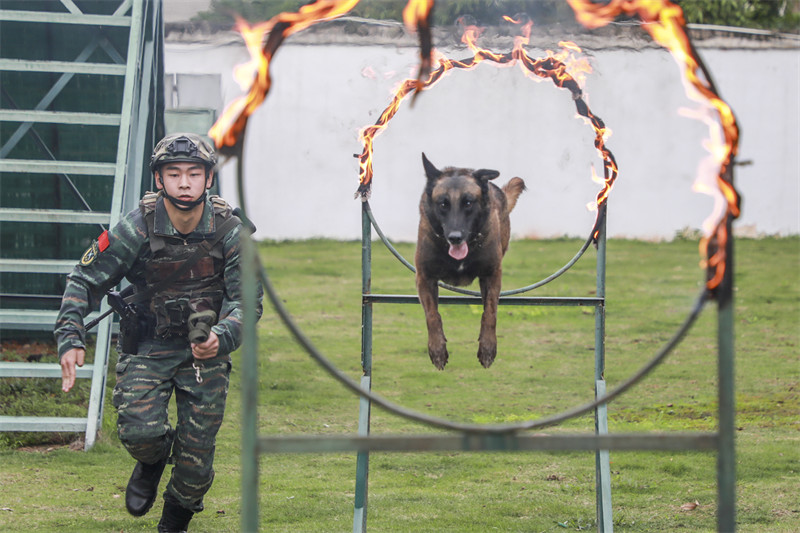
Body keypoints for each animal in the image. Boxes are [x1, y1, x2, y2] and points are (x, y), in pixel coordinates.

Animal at [418, 152, 524, 368]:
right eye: (443, 204)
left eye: (468, 202)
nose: (455, 238)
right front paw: (437, 349)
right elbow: (432, 315)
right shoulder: (424, 277)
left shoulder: (492, 275)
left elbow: (490, 313)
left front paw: (488, 347)